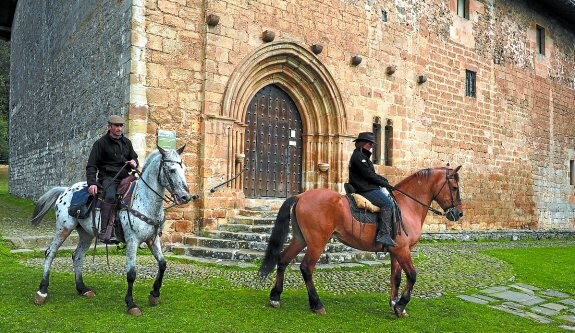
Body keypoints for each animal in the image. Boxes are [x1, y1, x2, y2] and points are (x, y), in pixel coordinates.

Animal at [31, 145, 194, 314]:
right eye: (172, 170)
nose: (186, 197)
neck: (144, 200)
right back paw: (42, 292)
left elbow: (162, 264)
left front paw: (154, 294)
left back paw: (82, 288)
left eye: (184, 168)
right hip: (64, 228)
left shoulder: (152, 239)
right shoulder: (132, 241)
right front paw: (131, 304)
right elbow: (131, 273)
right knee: (50, 253)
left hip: (86, 234)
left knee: (77, 256)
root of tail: (66, 190)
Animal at [260, 165, 464, 316]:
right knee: (306, 268)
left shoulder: (395, 252)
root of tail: (301, 196)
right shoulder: (403, 250)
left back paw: (275, 297)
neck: (407, 206)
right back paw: (316, 304)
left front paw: (394, 304)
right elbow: (412, 276)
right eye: (454, 188)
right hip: (317, 242)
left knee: (283, 260)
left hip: (300, 239)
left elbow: (396, 278)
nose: (459, 214)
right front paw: (401, 305)